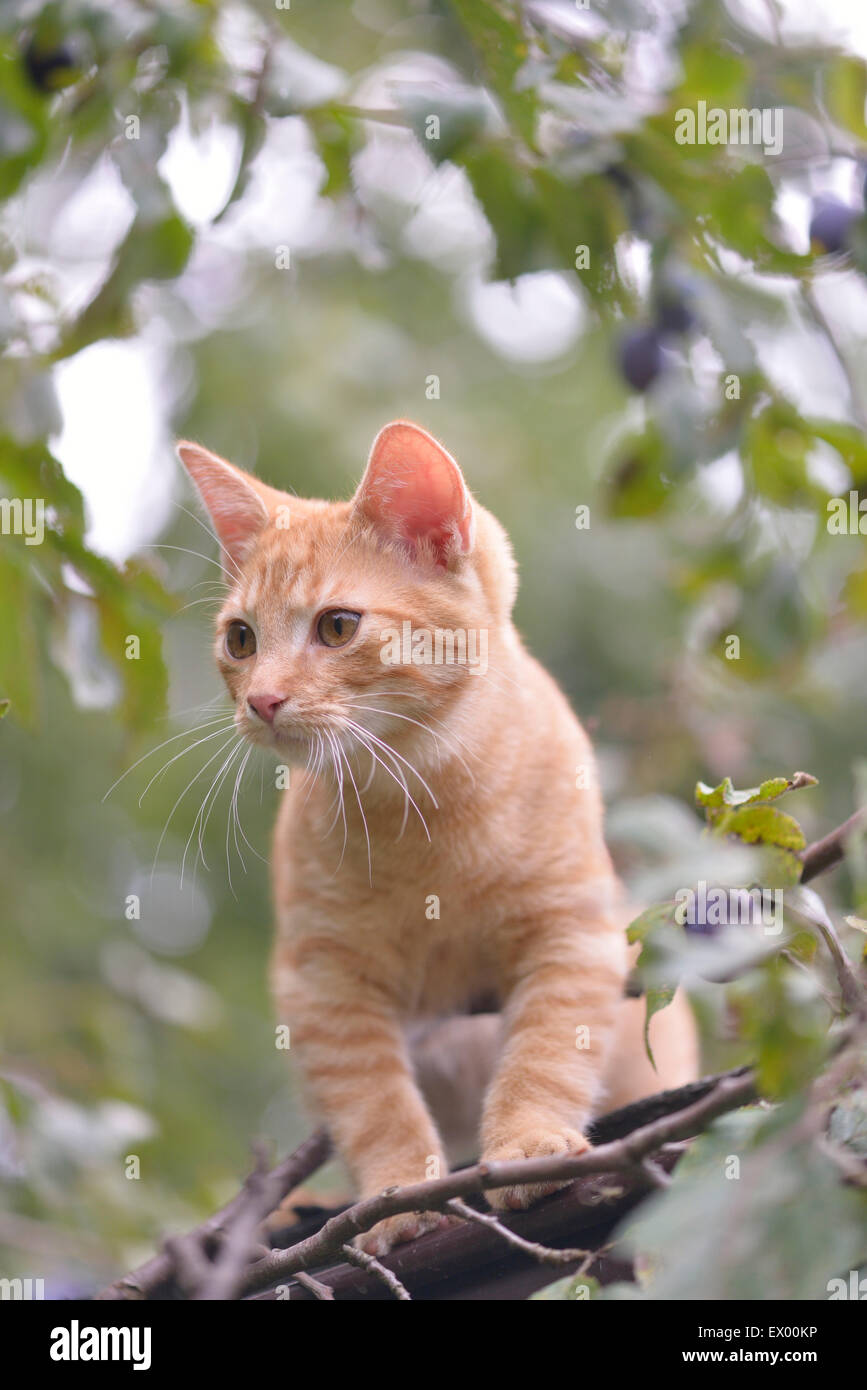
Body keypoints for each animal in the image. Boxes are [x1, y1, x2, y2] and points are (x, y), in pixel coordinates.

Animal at [177, 417, 697, 1256]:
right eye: (241, 639)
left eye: (337, 626)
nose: (261, 700)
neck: (423, 804)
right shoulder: (322, 980)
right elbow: (373, 1101)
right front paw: (396, 1196)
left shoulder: (572, 928)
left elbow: (546, 1047)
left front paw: (526, 1144)